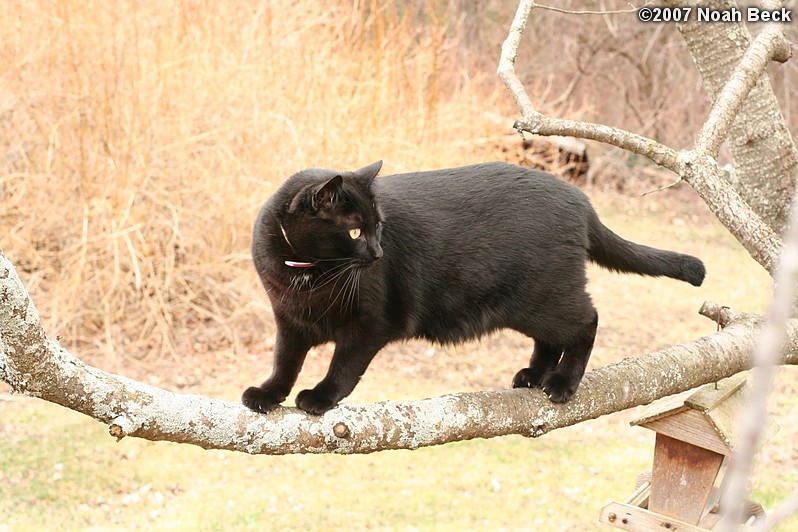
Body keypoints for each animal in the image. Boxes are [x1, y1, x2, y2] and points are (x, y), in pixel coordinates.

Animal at [244, 162, 708, 416]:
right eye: (359, 229)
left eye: (378, 227)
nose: (378, 252)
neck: (309, 274)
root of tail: (581, 200)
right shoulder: (289, 320)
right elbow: (284, 362)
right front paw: (267, 394)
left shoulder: (370, 325)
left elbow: (342, 368)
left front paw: (320, 398)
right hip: (526, 304)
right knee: (550, 339)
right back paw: (534, 376)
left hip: (545, 297)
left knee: (586, 322)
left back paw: (561, 383)